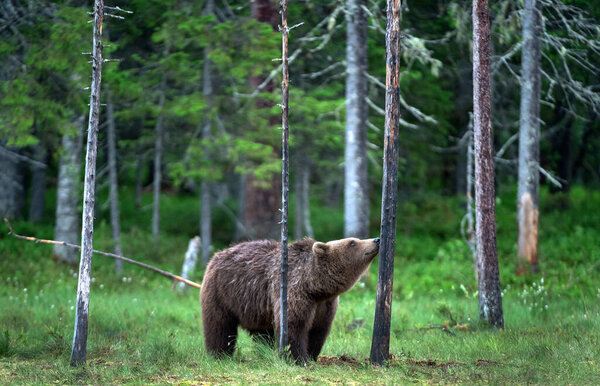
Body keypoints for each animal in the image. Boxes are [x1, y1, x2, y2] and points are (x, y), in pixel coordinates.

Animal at [202, 237, 380, 364]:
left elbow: (319, 330)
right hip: (222, 293)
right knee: (219, 326)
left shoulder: (325, 305)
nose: (376, 239)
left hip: (256, 308)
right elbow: (293, 325)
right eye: (352, 242)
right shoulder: (294, 292)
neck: (315, 287)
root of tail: (217, 255)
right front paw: (298, 358)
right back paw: (220, 354)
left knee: (263, 333)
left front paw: (311, 355)